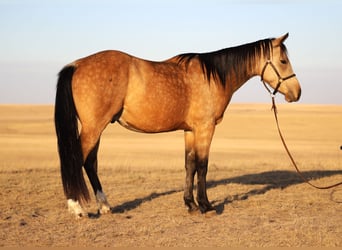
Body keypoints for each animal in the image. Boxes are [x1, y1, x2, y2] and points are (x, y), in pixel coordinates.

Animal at [54, 33, 300, 217]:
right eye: (283, 61)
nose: (297, 93)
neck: (212, 77)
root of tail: (76, 65)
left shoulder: (190, 130)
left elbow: (189, 164)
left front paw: (190, 204)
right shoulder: (205, 128)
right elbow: (202, 165)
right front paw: (206, 206)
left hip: (96, 128)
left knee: (90, 163)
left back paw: (104, 206)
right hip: (94, 127)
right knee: (77, 160)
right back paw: (77, 208)